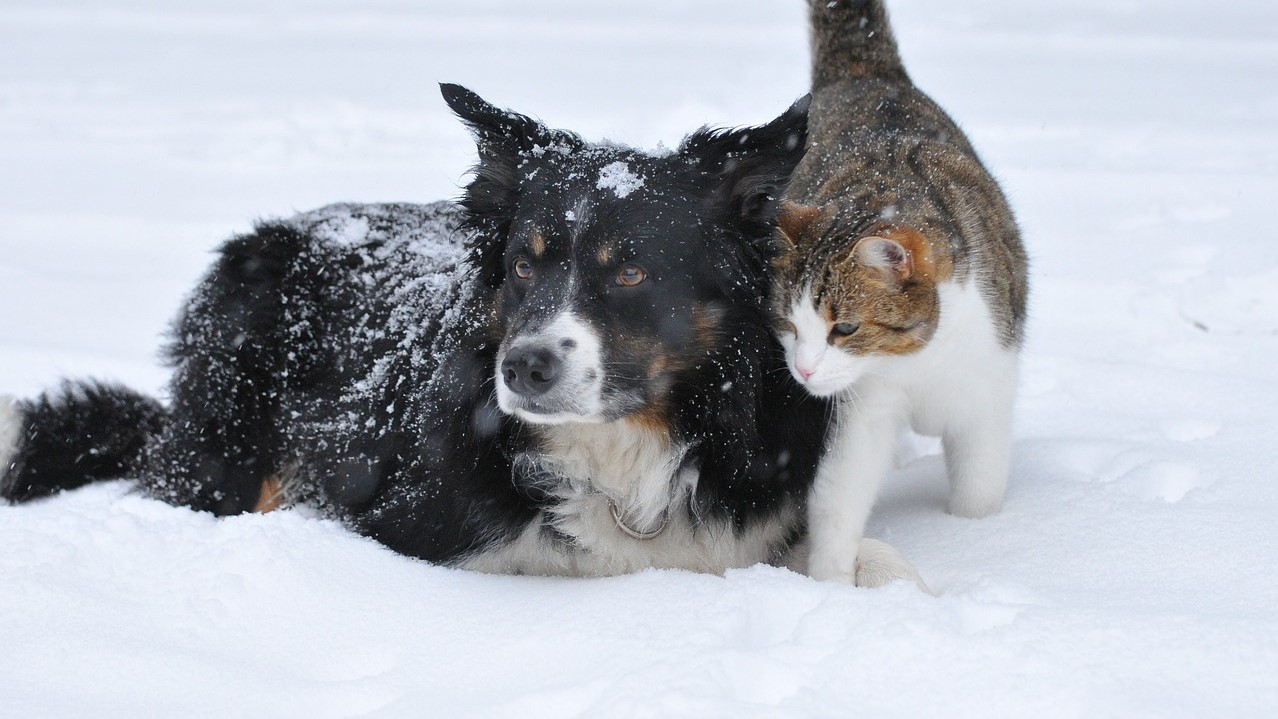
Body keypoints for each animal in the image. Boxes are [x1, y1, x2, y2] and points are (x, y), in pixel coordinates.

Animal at [0, 85, 925, 584]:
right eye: (522, 264)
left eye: (631, 273)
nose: (524, 368)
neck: (621, 455)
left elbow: (854, 553)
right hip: (230, 435)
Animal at [766, 0, 1027, 584]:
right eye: (789, 325)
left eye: (844, 327)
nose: (804, 371)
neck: (917, 360)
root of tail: (864, 75)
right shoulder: (860, 408)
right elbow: (839, 493)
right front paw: (831, 583)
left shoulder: (987, 385)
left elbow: (980, 485)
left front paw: (980, 538)